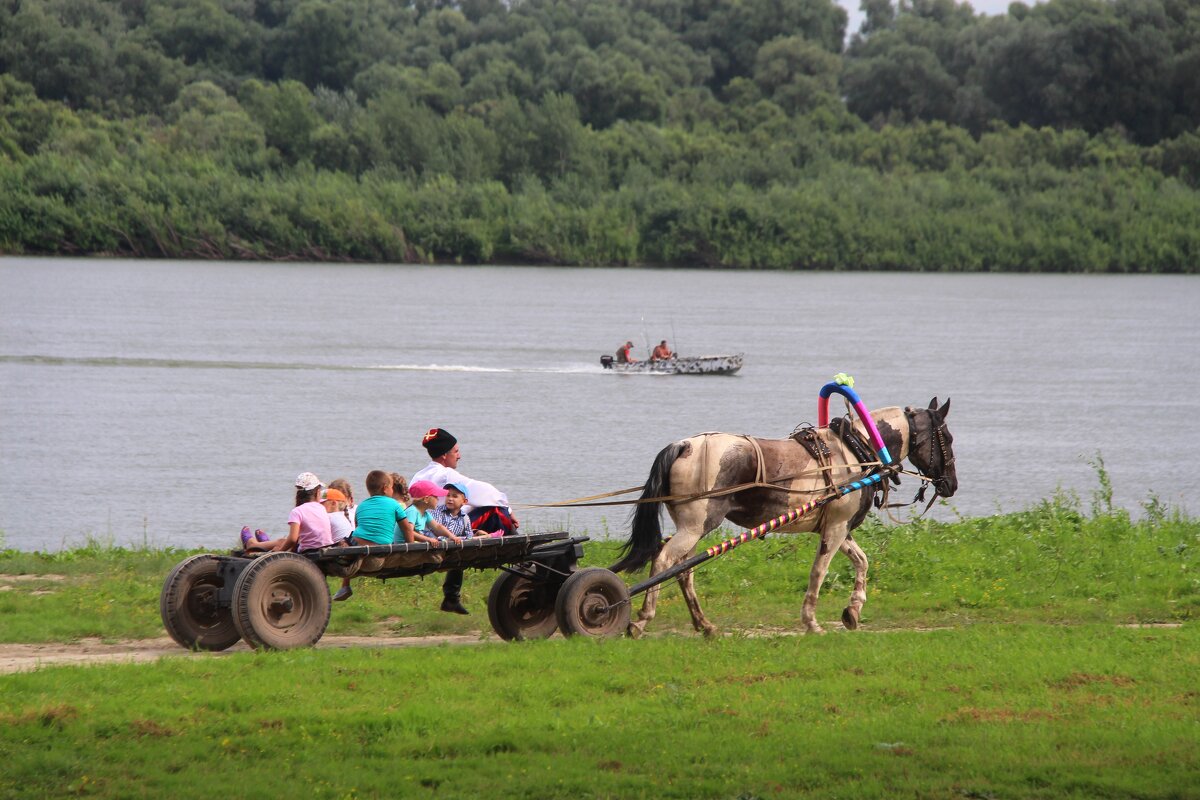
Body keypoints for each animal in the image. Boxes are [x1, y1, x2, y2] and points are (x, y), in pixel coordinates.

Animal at [609, 398, 955, 638]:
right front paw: (812, 622)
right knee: (664, 561)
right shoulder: (836, 528)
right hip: (695, 527)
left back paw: (704, 625)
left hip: (693, 530)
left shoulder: (837, 526)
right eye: (947, 439)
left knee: (683, 572)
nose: (951, 484)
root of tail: (684, 445)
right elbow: (819, 572)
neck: (857, 451)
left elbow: (862, 562)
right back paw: (641, 620)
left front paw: (853, 610)